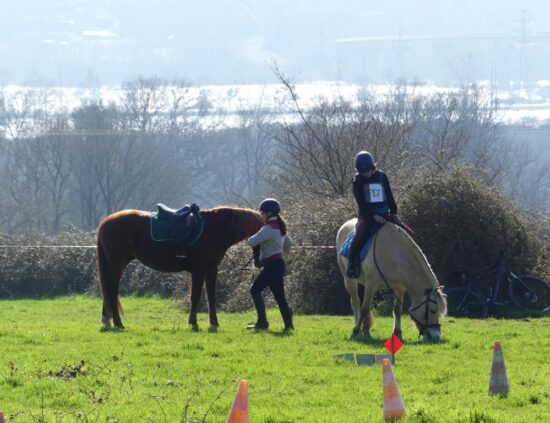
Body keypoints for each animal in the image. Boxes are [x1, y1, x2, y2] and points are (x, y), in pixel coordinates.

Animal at [97, 207, 266, 330]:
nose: (259, 263)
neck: (213, 229)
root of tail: (105, 222)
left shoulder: (212, 269)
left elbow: (211, 296)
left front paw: (214, 322)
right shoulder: (199, 270)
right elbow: (195, 296)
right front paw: (193, 322)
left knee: (108, 289)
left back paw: (107, 320)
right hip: (117, 264)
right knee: (112, 290)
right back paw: (118, 323)